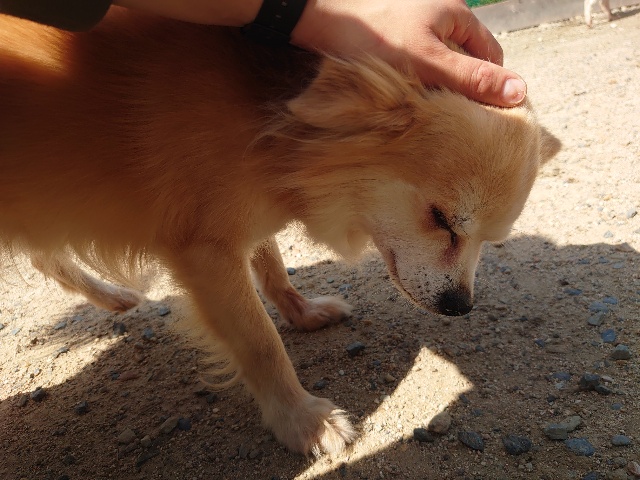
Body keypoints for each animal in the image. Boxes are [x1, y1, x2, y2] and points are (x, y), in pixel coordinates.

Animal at [0, 8, 559, 455]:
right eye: (441, 220)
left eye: (489, 243)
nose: (461, 306)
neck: (268, 112)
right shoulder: (205, 250)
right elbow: (259, 342)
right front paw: (303, 421)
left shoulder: (245, 211)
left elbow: (271, 263)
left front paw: (303, 312)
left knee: (44, 254)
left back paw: (113, 297)